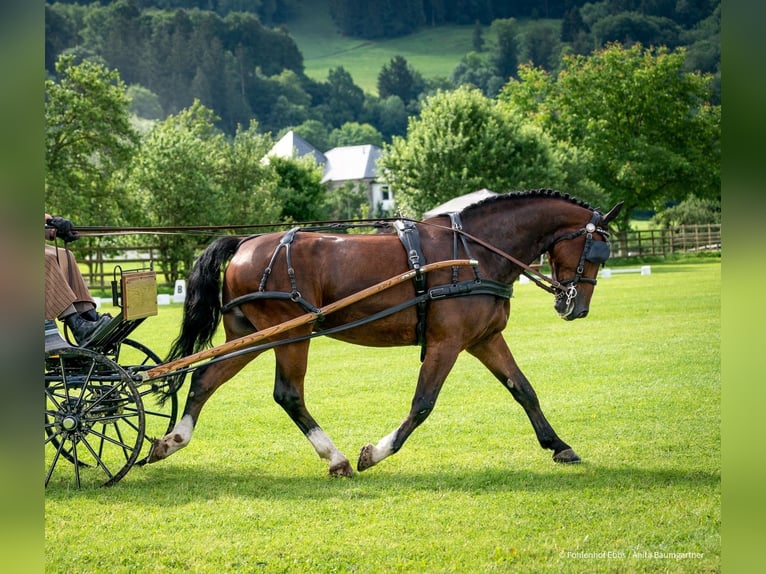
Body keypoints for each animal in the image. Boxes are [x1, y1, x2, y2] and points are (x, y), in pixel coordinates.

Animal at [148, 191, 624, 474]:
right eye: (596, 250)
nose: (575, 307)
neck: (474, 252)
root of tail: (245, 243)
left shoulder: (483, 340)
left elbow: (523, 389)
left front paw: (558, 445)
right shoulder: (446, 344)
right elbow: (422, 404)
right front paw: (375, 452)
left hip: (253, 335)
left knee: (205, 378)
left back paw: (172, 440)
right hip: (292, 334)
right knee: (288, 394)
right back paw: (335, 457)